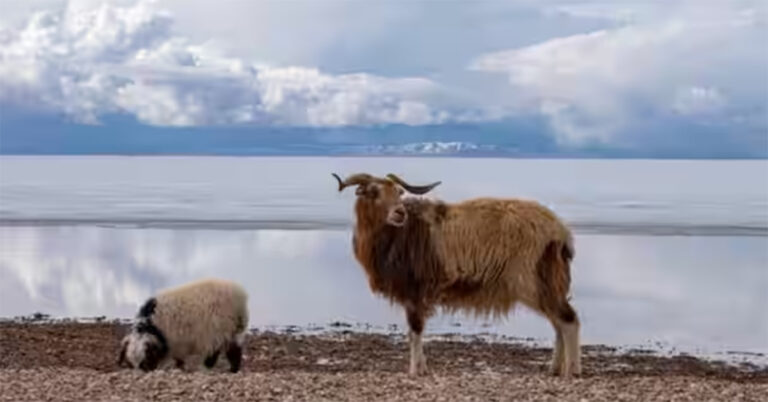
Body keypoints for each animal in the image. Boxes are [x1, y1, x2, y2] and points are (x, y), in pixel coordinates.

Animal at [118, 278, 249, 372]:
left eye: (145, 361)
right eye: (130, 364)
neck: (154, 326)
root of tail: (239, 297)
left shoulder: (176, 341)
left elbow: (179, 358)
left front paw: (180, 367)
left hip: (217, 331)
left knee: (215, 352)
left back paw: (206, 367)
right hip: (233, 331)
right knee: (234, 350)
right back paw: (233, 369)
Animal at [332, 172, 580, 376]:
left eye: (399, 193)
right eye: (373, 192)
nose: (399, 213)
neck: (398, 234)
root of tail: (561, 232)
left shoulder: (415, 291)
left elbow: (415, 330)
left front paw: (414, 371)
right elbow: (414, 332)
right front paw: (422, 369)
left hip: (534, 282)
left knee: (568, 320)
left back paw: (571, 371)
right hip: (547, 286)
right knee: (558, 324)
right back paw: (554, 369)